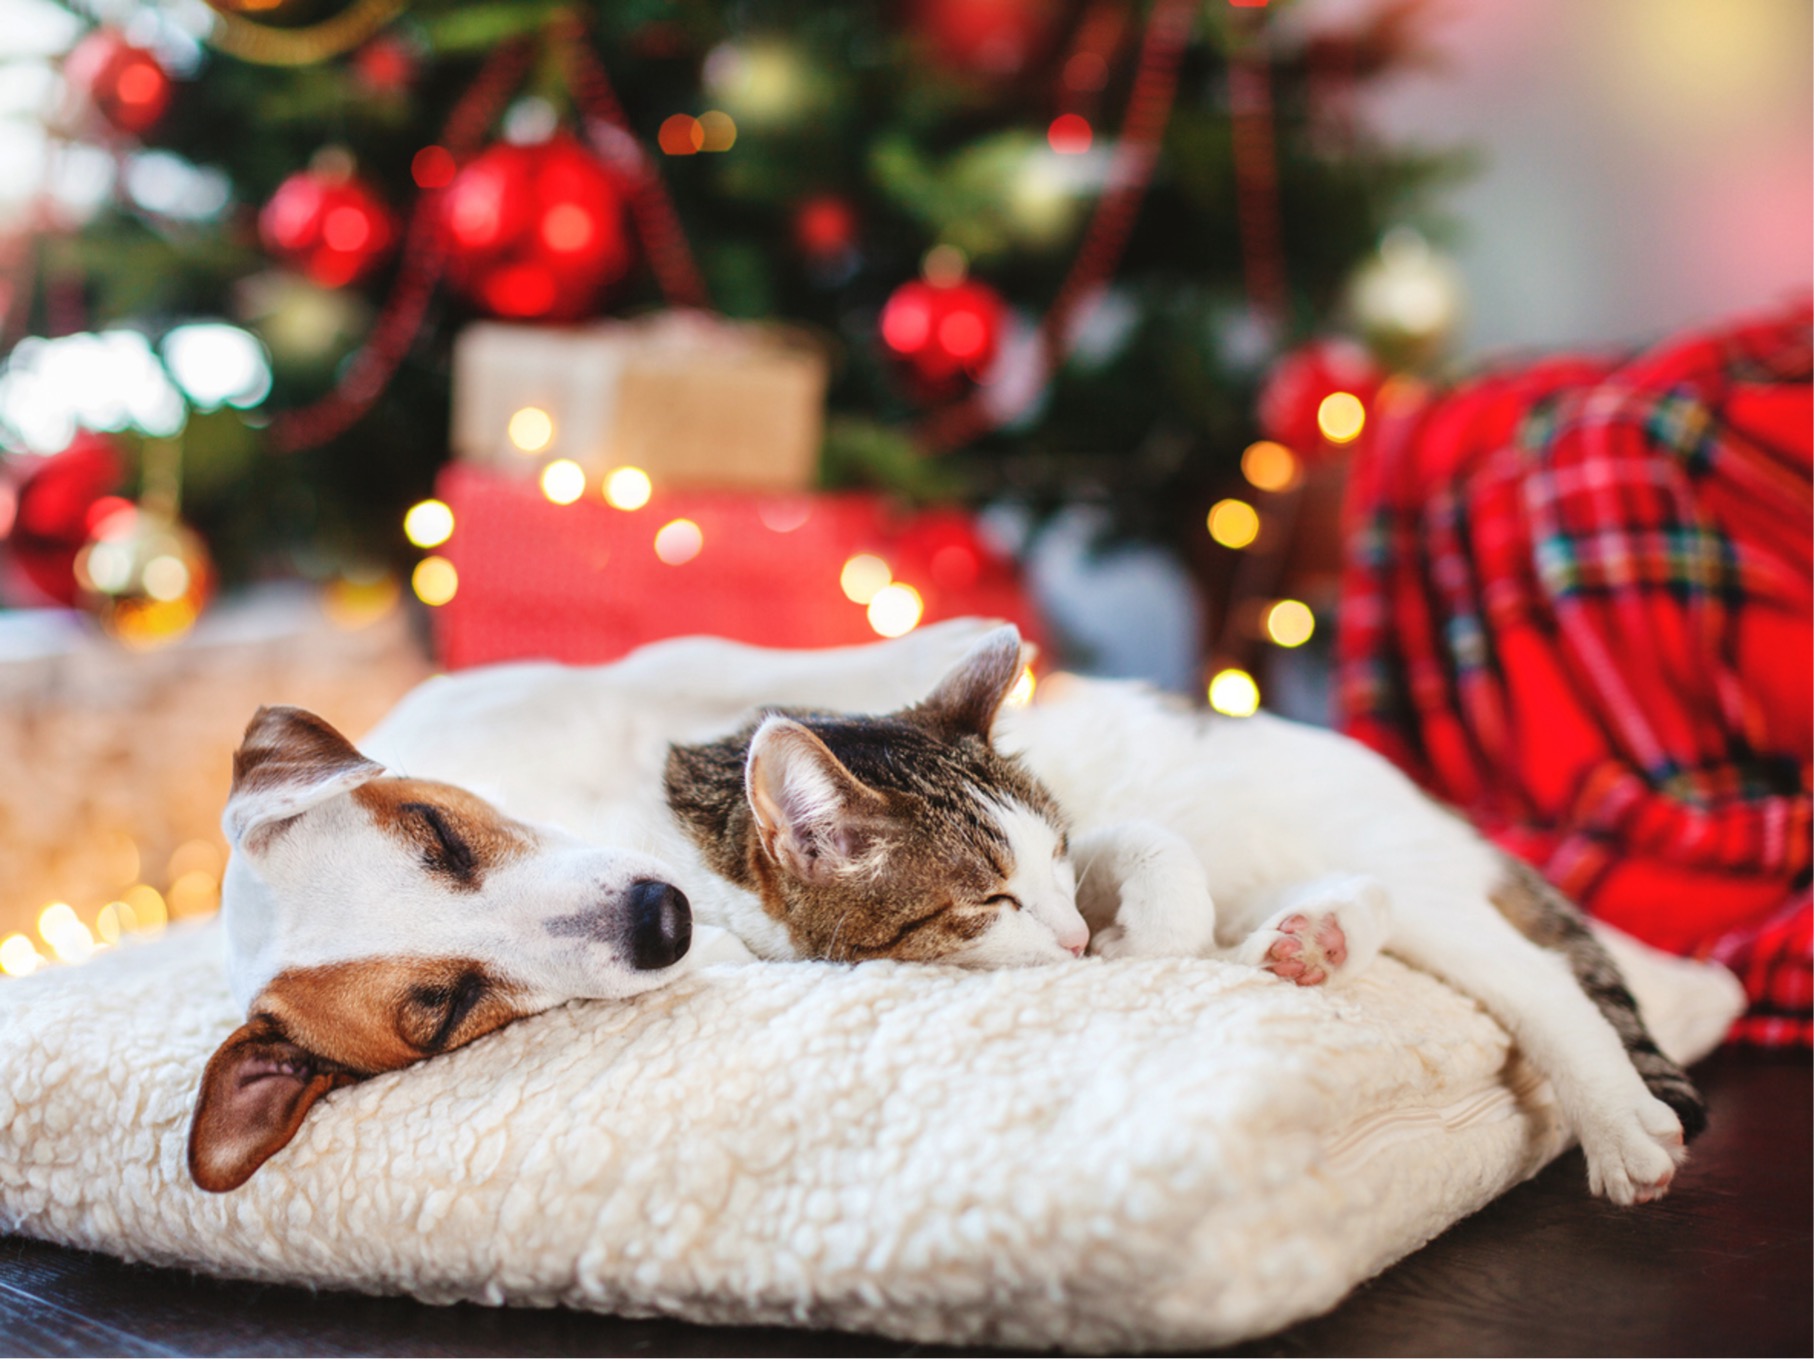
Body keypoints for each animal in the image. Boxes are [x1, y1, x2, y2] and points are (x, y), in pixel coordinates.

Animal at [669, 626, 1703, 1201]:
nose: (1078, 936)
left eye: (1053, 857)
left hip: (1403, 868)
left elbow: (1159, 858)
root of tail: (1433, 806)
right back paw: (1309, 941)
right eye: (993, 900)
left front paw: (1140, 943)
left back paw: (1619, 1120)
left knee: (1536, 973)